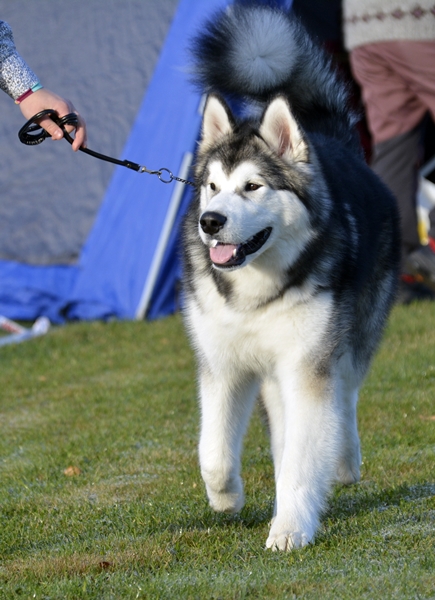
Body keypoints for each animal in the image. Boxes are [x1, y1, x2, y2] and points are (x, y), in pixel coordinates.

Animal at [181, 2, 402, 552]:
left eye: (252, 187)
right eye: (212, 185)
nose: (209, 221)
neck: (254, 292)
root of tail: (334, 143)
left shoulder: (308, 365)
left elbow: (305, 456)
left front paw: (290, 528)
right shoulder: (223, 364)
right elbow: (212, 451)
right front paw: (226, 499)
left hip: (349, 337)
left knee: (344, 398)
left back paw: (344, 461)